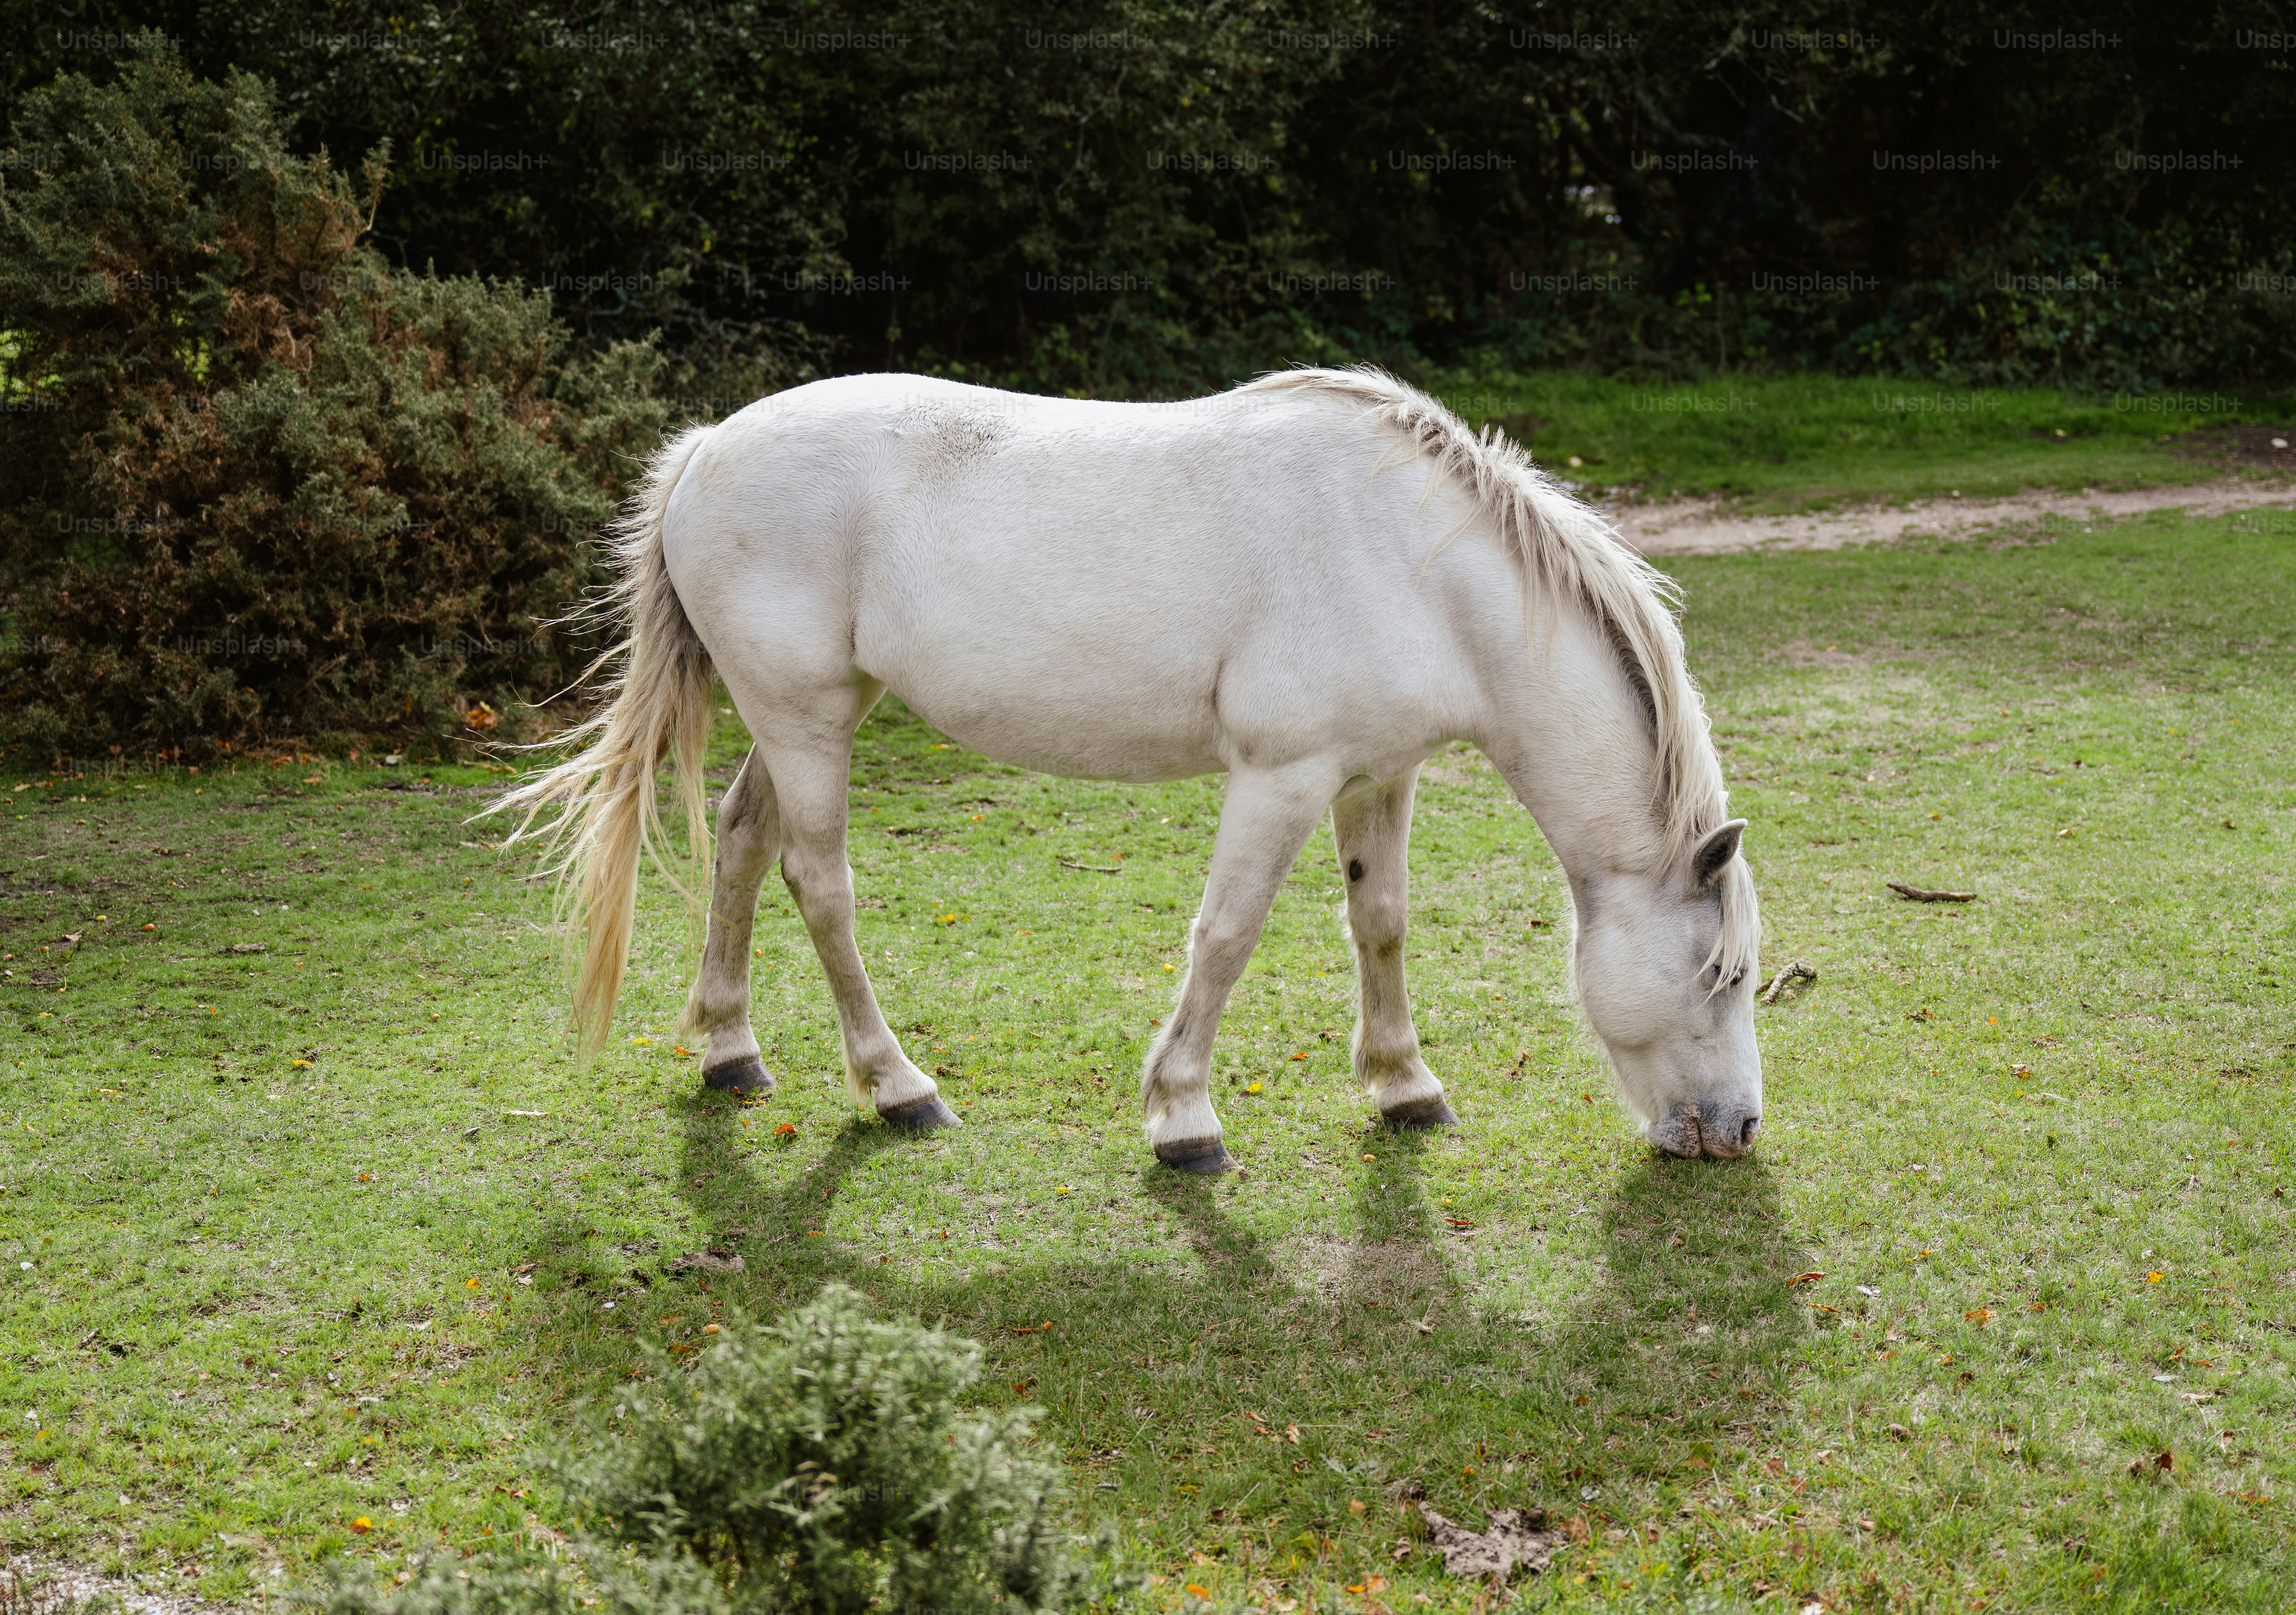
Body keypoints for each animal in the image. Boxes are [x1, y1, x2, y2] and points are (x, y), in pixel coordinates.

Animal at [497, 366, 1763, 1169]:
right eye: (1724, 973)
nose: (1739, 1129)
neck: (1412, 561)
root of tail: (706, 449)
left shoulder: (1374, 777)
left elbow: (1381, 924)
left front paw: (1405, 1087)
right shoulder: (1280, 776)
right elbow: (1225, 934)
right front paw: (1183, 1118)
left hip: (806, 715)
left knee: (743, 841)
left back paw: (731, 1053)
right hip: (806, 721)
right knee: (819, 882)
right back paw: (899, 1088)